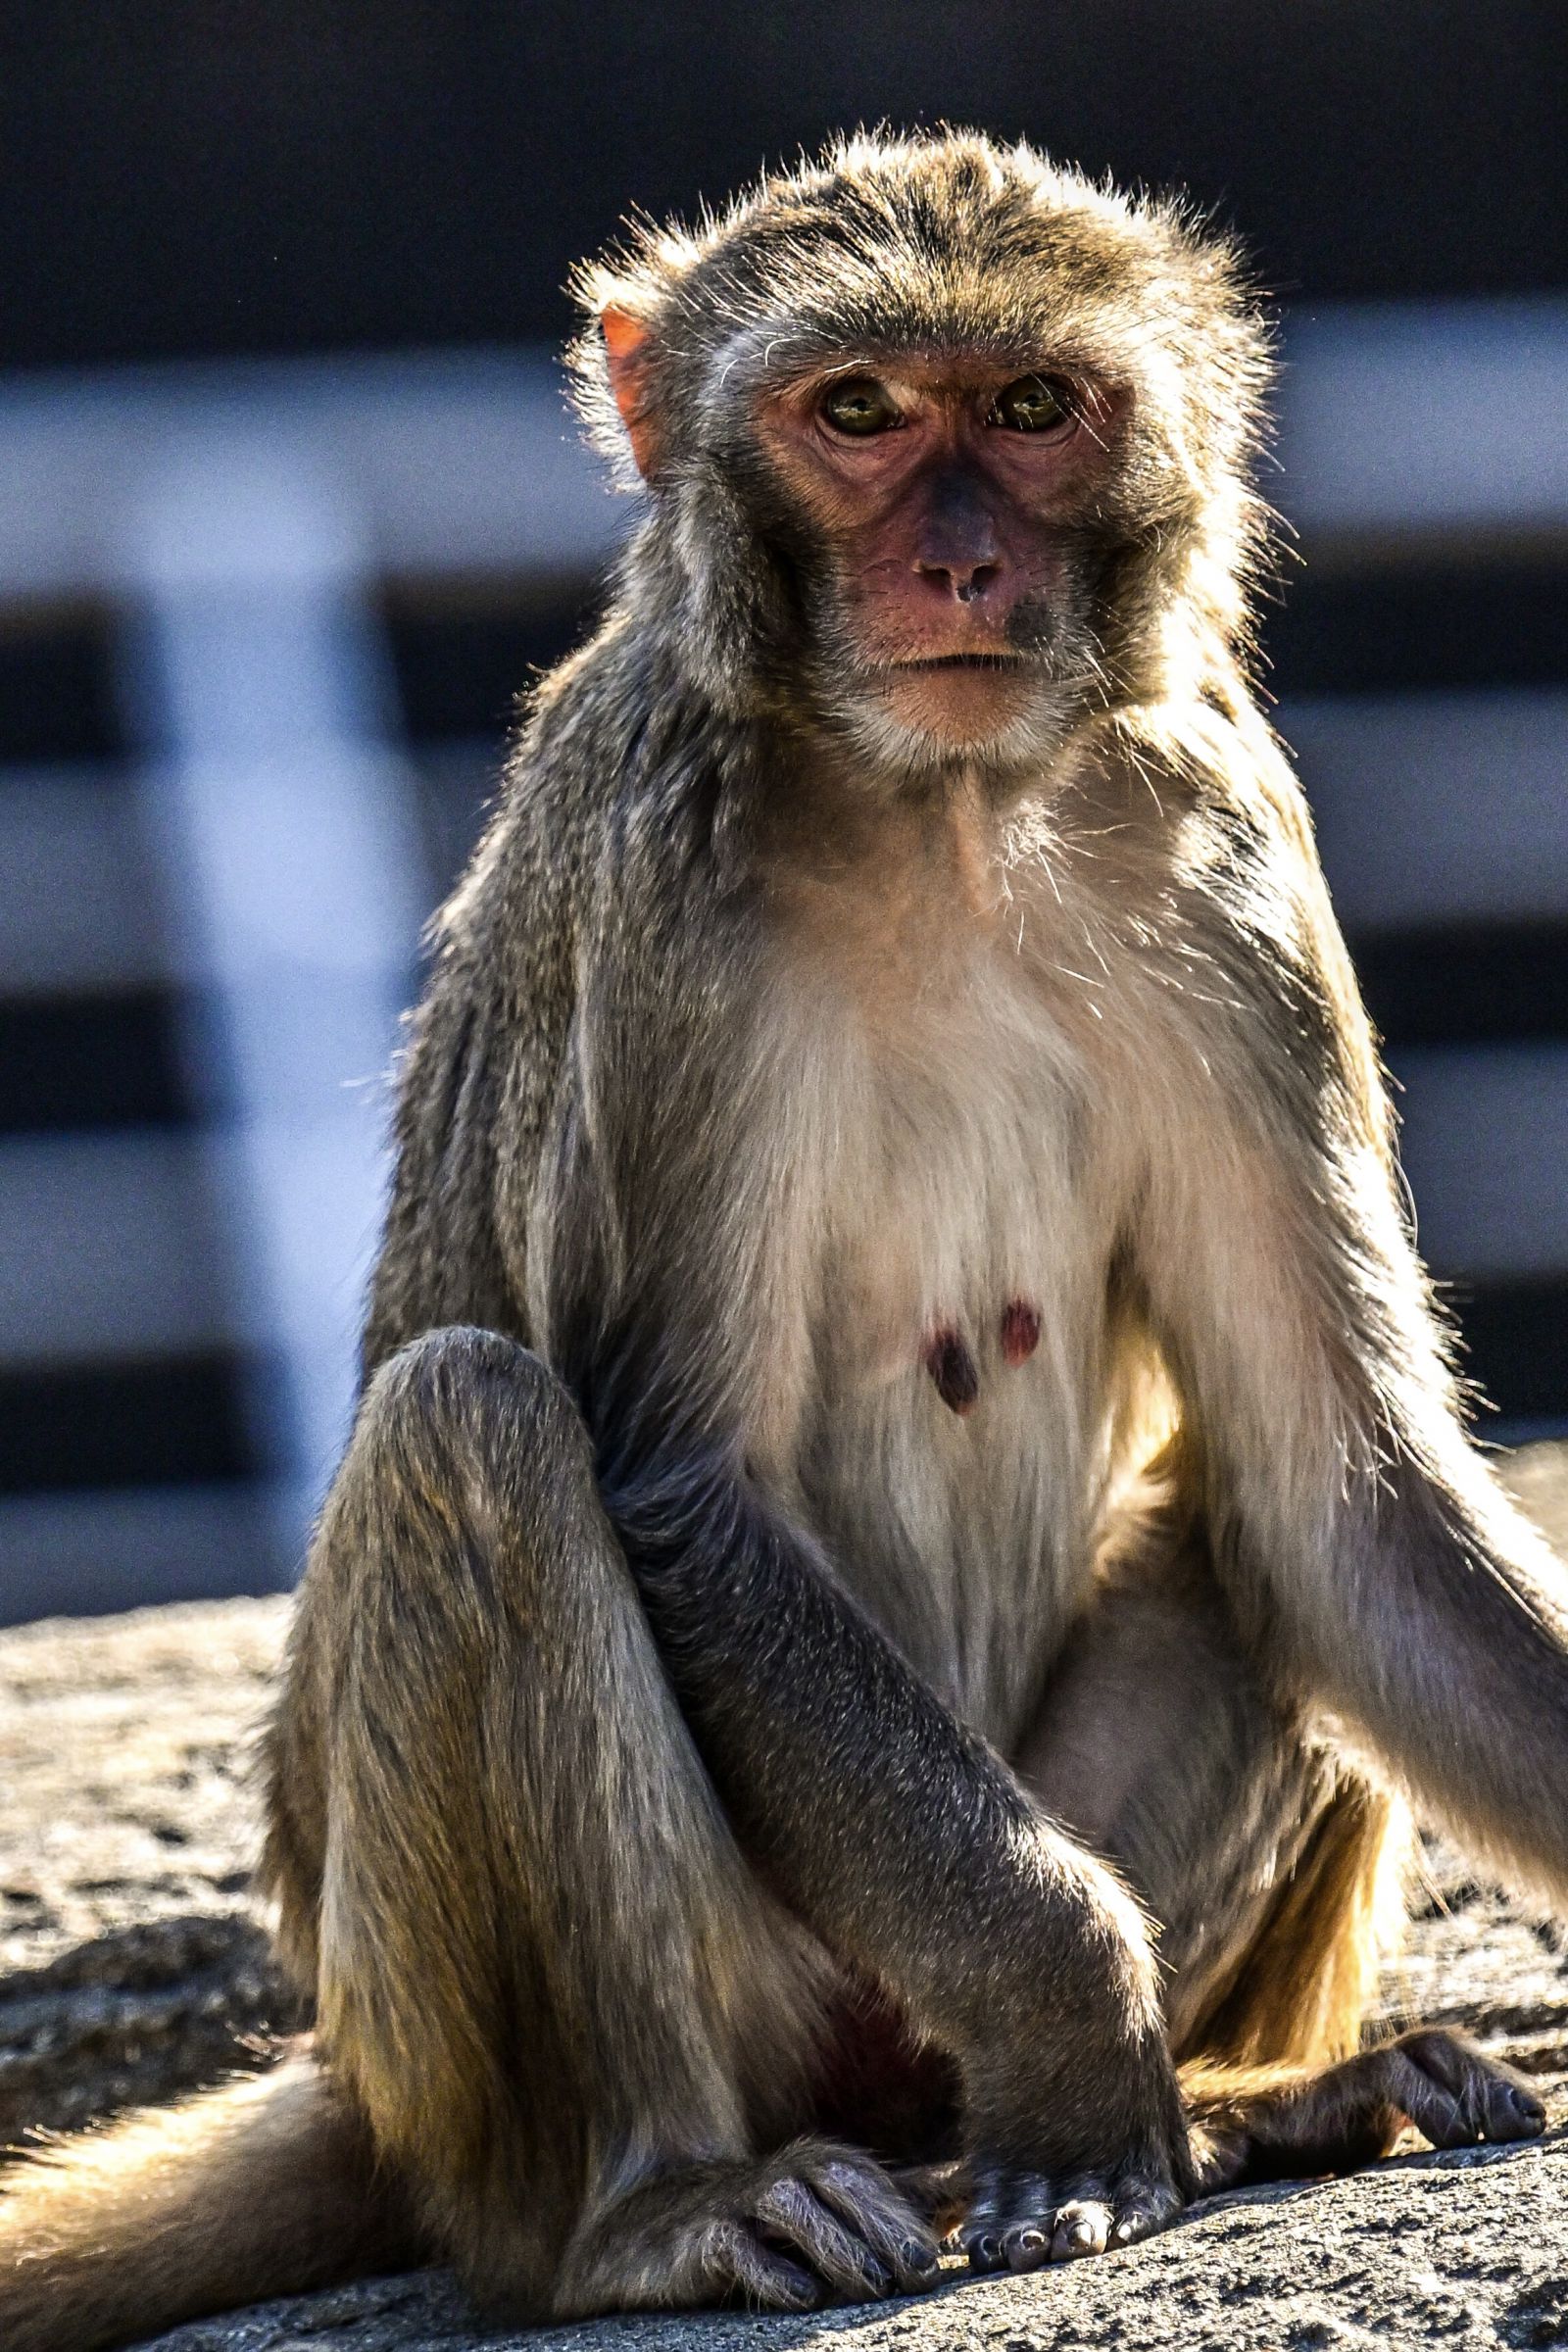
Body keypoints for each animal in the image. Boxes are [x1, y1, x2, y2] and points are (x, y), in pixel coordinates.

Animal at [1, 129, 1561, 2352]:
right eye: (858, 415)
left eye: (1029, 407)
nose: (959, 570)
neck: (949, 813)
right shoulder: (673, 884)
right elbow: (679, 1479)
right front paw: (1075, 2028)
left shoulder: (1224, 851)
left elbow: (1344, 1502)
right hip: (623, 2026)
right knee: (475, 1431)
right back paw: (651, 2210)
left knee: (1253, 1517)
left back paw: (1247, 2096)